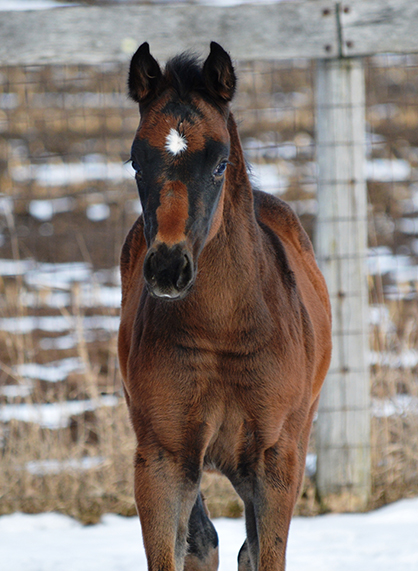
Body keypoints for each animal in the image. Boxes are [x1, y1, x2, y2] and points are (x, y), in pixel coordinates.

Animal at [119, 41, 332, 571]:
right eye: (135, 163)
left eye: (219, 164)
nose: (168, 269)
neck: (222, 332)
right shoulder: (163, 456)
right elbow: (178, 549)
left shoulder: (276, 459)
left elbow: (264, 553)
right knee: (205, 540)